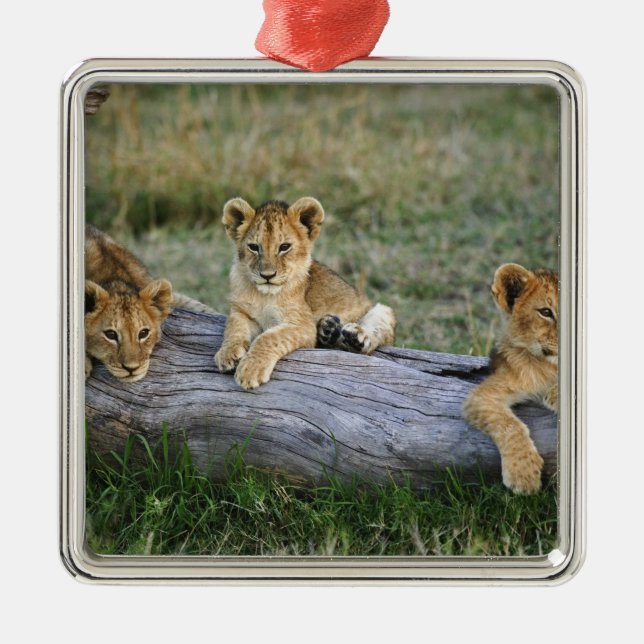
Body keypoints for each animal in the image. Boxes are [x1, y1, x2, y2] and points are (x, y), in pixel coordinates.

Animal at [214, 197, 396, 389]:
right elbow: (233, 328)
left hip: (381, 310)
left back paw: (355, 337)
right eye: (254, 247)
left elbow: (269, 337)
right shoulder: (240, 311)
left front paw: (250, 370)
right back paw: (328, 329)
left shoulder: (302, 325)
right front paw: (227, 354)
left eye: (284, 247)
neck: (264, 295)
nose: (267, 276)